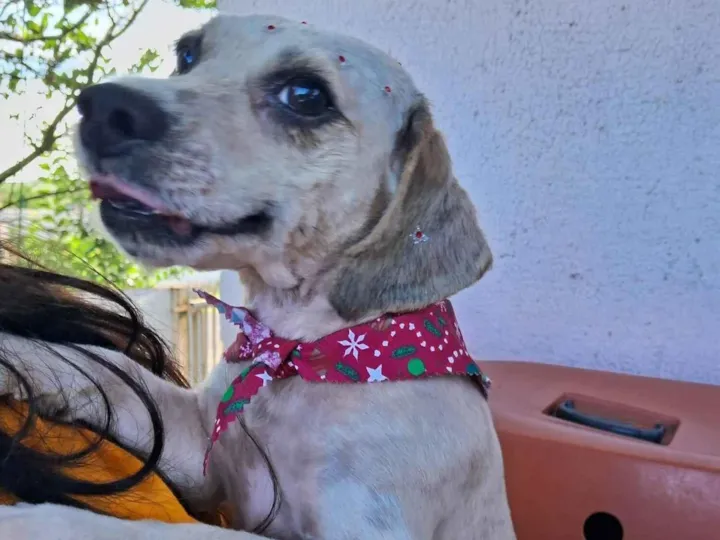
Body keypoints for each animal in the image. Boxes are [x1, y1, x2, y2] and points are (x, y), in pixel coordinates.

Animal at [0, 14, 516, 540]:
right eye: (187, 55)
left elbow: (173, 530)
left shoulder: (364, 527)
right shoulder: (199, 446)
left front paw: (39, 521)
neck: (300, 349)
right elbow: (107, 366)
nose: (102, 108)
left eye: (306, 96)